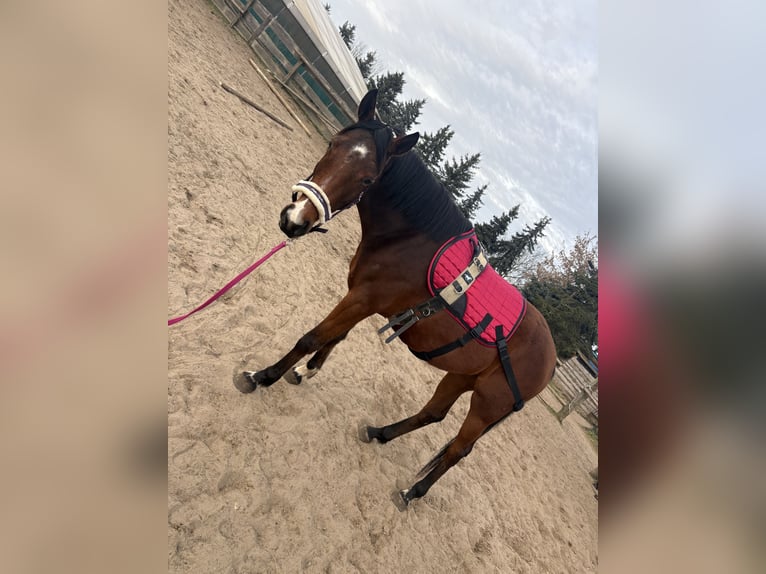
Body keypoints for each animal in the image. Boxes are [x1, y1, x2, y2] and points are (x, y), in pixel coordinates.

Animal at [234, 89, 557, 510]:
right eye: (332, 144)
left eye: (368, 178)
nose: (295, 219)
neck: (410, 242)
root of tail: (551, 359)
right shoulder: (361, 298)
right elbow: (334, 337)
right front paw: (305, 371)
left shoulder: (363, 299)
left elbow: (312, 336)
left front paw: (262, 376)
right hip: (461, 376)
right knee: (433, 413)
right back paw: (379, 433)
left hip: (489, 403)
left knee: (459, 450)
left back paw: (412, 492)